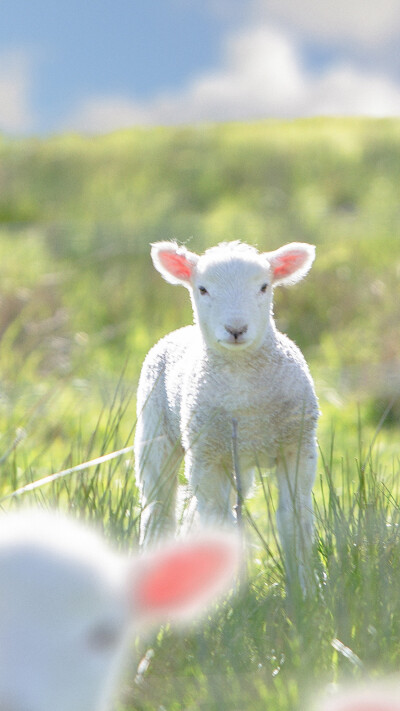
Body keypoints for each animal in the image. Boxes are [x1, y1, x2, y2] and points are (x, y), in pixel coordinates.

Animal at [134, 239, 318, 588]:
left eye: (264, 286)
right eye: (203, 289)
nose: (236, 329)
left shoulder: (298, 447)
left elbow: (294, 519)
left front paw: (306, 588)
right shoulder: (206, 456)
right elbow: (217, 525)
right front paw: (230, 595)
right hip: (156, 434)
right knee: (160, 507)